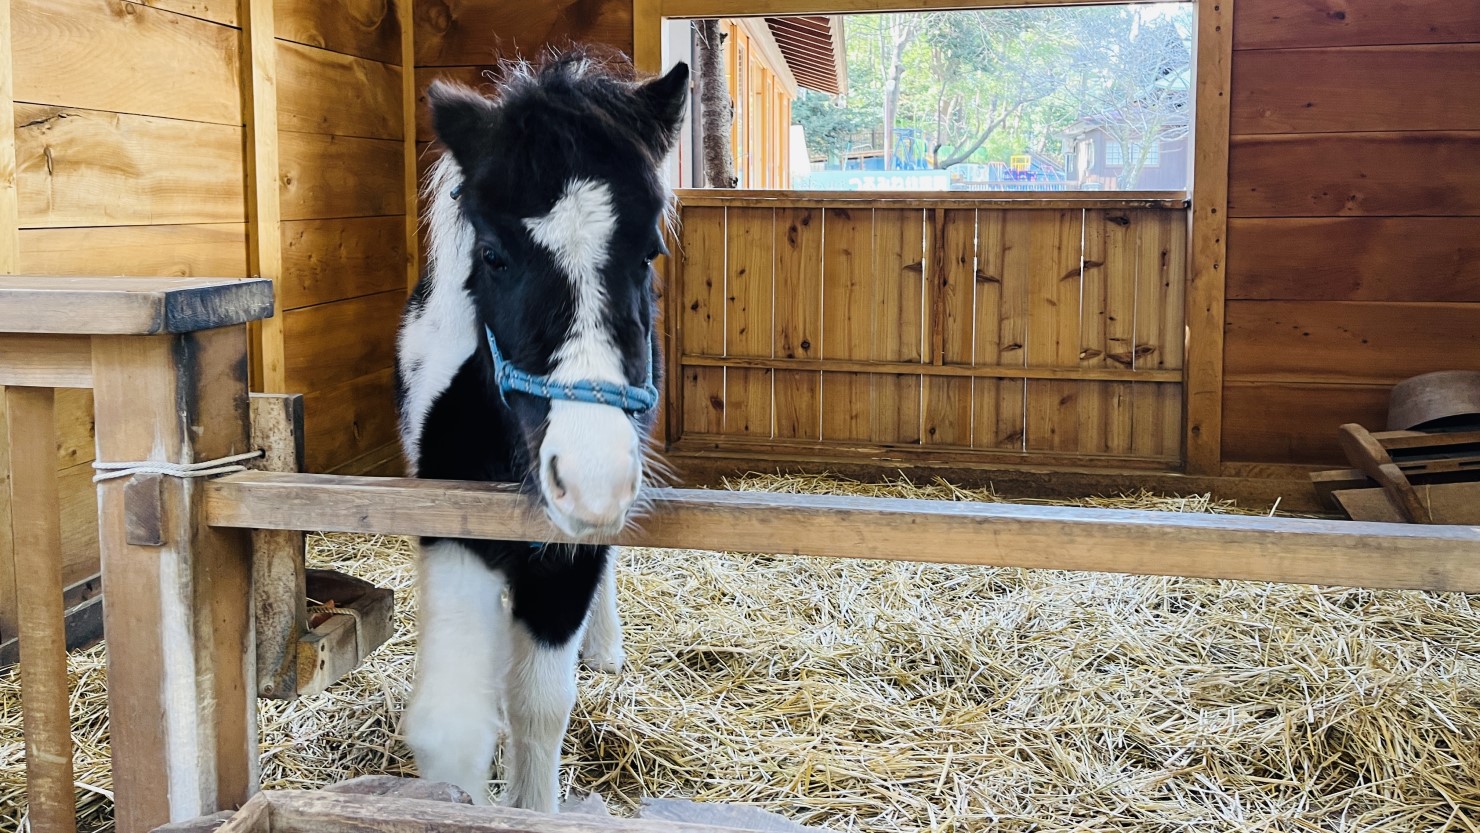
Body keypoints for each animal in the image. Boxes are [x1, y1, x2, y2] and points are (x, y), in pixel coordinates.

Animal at [393, 50, 689, 811]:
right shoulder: (451, 532)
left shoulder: (565, 559)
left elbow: (540, 704)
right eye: (493, 254)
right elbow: (453, 726)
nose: (590, 480)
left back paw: (605, 647)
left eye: (647, 253)